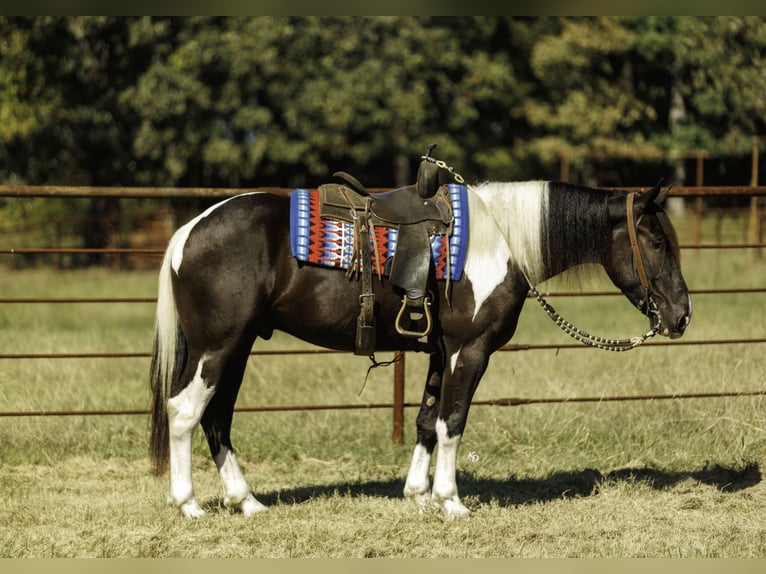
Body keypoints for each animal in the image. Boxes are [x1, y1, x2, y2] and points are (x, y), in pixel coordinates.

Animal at [148, 178, 692, 519]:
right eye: (657, 242)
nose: (682, 315)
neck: (499, 241)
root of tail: (188, 231)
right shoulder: (469, 351)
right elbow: (453, 422)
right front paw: (451, 501)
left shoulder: (439, 351)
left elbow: (428, 421)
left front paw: (418, 495)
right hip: (217, 348)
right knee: (185, 412)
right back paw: (188, 504)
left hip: (236, 349)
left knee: (217, 418)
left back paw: (247, 502)